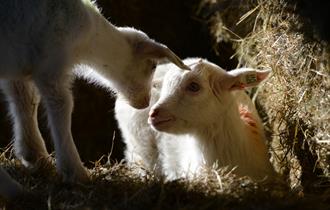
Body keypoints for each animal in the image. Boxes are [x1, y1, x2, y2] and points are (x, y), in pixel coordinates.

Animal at [0, 0, 187, 182]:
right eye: (153, 65)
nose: (144, 103)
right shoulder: (51, 65)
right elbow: (61, 107)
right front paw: (74, 170)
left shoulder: (17, 67)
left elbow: (25, 101)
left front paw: (34, 155)